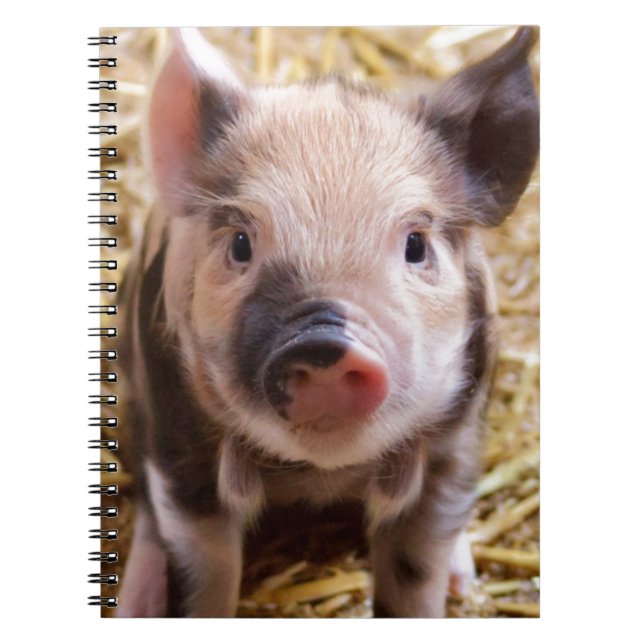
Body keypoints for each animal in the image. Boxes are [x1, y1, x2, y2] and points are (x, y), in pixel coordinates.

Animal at [117, 26, 539, 618]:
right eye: (241, 243)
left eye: (416, 245)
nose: (322, 342)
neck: (320, 476)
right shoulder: (178, 443)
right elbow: (205, 575)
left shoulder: (455, 445)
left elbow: (416, 573)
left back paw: (465, 583)